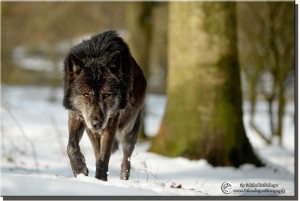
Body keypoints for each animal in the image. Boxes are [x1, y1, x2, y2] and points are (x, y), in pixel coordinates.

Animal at [63, 30, 146, 181]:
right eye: (86, 94)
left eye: (107, 95)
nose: (97, 123)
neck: (97, 55)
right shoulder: (77, 116)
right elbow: (71, 146)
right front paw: (79, 169)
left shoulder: (111, 121)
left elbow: (104, 156)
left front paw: (101, 180)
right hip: (92, 130)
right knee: (97, 153)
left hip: (128, 131)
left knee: (126, 162)